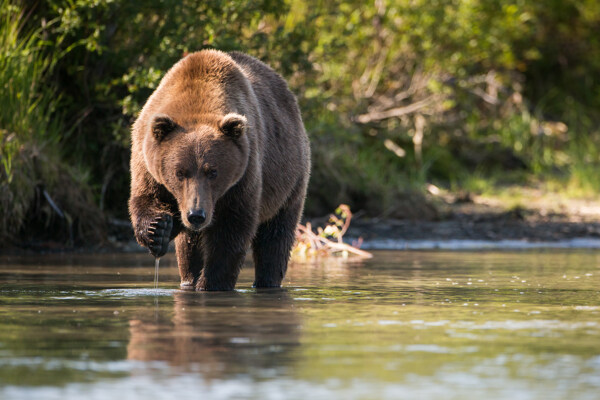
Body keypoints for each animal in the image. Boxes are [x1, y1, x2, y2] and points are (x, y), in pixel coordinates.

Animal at [129, 51, 312, 292]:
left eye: (212, 172)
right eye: (180, 172)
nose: (196, 215)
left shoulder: (244, 174)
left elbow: (231, 231)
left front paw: (210, 284)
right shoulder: (147, 160)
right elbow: (146, 198)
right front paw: (157, 230)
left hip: (290, 179)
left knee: (276, 236)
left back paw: (267, 281)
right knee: (188, 248)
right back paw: (188, 279)